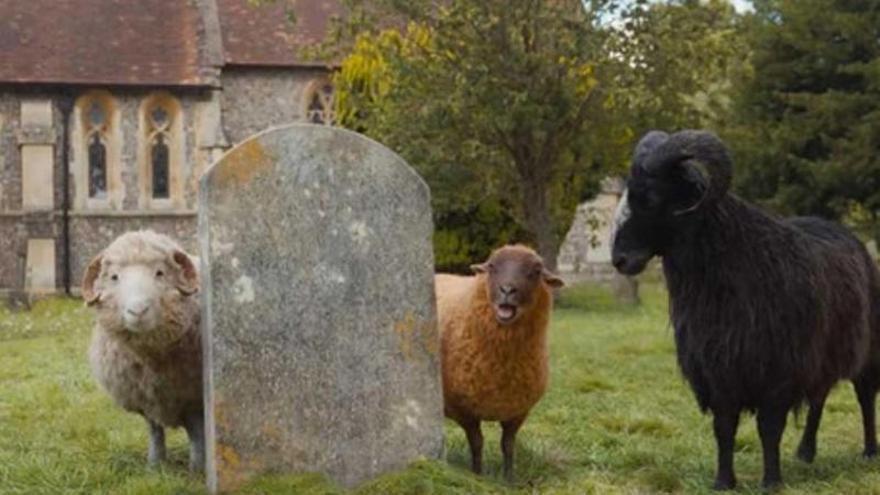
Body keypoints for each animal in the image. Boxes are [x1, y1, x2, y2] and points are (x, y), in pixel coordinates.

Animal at [81, 230, 204, 472]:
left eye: (160, 273)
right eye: (114, 277)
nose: (137, 311)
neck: (151, 359)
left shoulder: (193, 397)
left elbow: (196, 432)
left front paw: (197, 468)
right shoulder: (144, 395)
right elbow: (154, 430)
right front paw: (155, 465)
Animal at [435, 245, 564, 481]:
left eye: (535, 272)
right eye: (492, 267)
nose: (507, 290)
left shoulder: (517, 411)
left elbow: (508, 445)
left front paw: (509, 479)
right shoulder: (464, 410)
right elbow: (477, 444)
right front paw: (477, 474)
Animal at [611, 129, 880, 489]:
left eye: (652, 198)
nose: (619, 260)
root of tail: (844, 232)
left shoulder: (777, 372)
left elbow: (769, 430)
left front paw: (771, 482)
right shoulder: (719, 371)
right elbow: (724, 429)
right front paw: (723, 482)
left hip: (867, 351)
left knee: (865, 397)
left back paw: (869, 451)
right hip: (821, 356)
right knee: (819, 398)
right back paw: (806, 452)